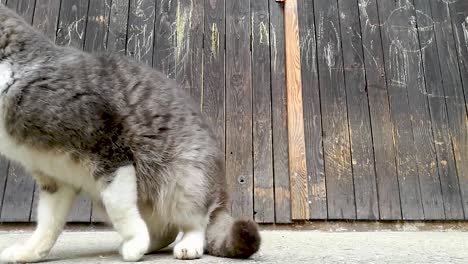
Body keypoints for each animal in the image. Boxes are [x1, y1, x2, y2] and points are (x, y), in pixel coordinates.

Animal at [0, 5, 260, 262]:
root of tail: (220, 194)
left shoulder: (111, 151)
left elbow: (119, 207)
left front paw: (135, 241)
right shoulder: (55, 178)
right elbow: (48, 223)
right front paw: (30, 252)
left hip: (183, 179)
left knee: (197, 222)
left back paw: (188, 243)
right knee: (165, 229)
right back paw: (151, 244)